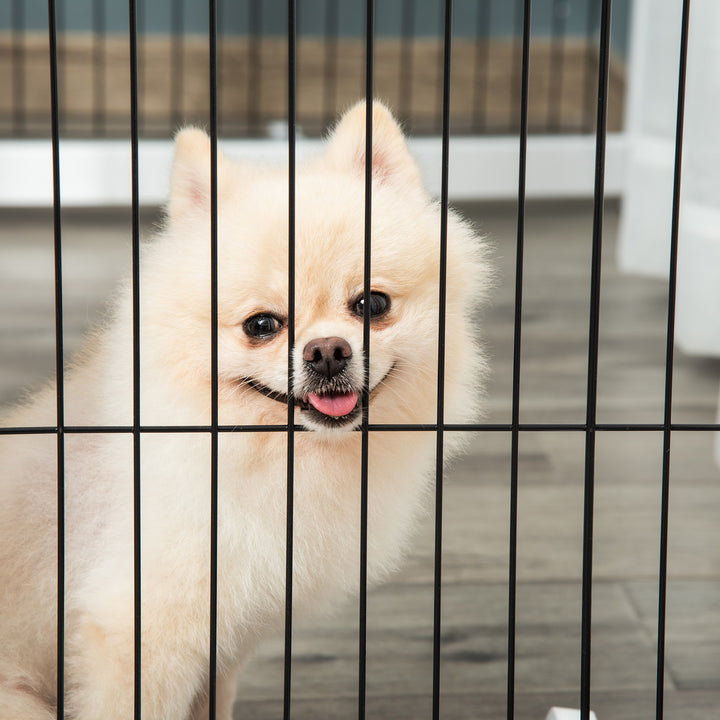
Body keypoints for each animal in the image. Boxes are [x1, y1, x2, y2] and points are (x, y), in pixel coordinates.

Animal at [0, 102, 490, 720]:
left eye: (372, 304)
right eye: (261, 324)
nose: (327, 351)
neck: (276, 454)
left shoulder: (226, 636)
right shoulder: (141, 631)